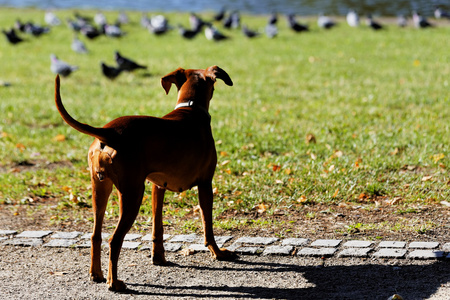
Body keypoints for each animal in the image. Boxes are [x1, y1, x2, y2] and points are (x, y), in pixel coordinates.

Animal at [54, 65, 236, 290]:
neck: (191, 108)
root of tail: (109, 132)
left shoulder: (158, 187)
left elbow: (157, 227)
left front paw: (158, 258)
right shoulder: (205, 185)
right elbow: (208, 225)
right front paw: (217, 253)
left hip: (100, 189)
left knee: (96, 235)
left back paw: (96, 274)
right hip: (132, 194)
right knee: (114, 240)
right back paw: (114, 282)